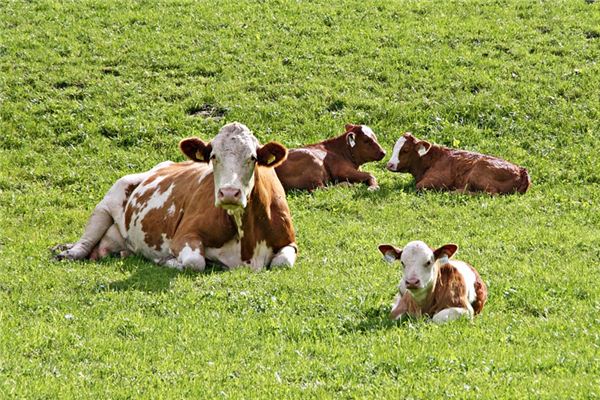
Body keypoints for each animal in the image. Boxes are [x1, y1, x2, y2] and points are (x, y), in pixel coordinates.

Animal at [55, 122, 298, 272]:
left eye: (253, 157)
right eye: (213, 156)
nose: (229, 193)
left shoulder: (290, 241)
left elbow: (282, 262)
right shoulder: (185, 234)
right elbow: (194, 262)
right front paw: (168, 261)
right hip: (110, 198)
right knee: (86, 241)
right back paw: (67, 252)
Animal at [384, 134, 528, 195]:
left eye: (405, 150)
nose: (389, 165)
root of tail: (521, 170)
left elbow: (419, 186)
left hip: (478, 172)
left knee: (491, 193)